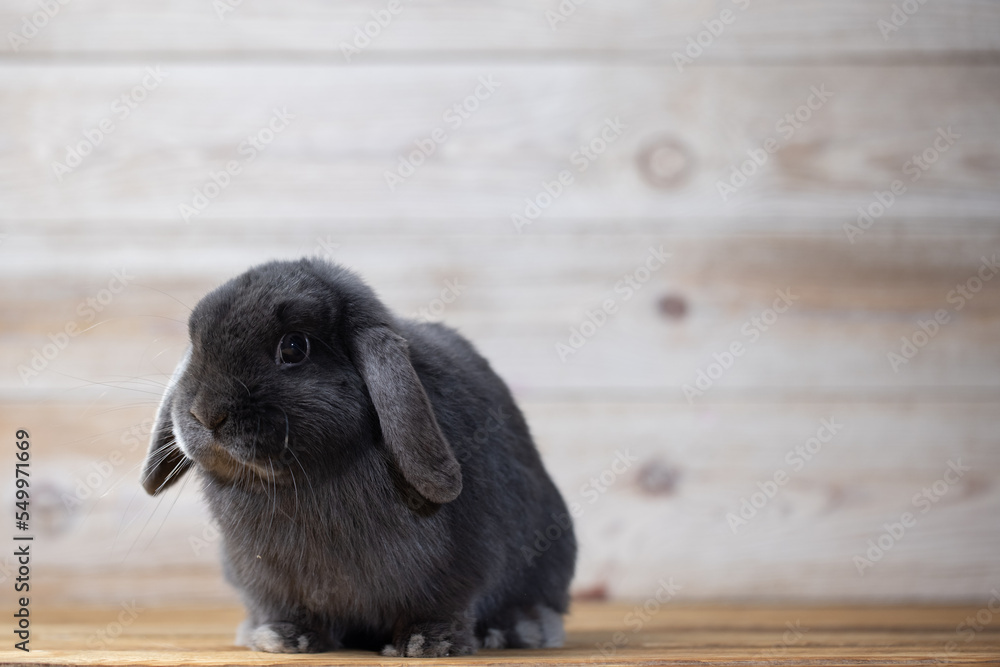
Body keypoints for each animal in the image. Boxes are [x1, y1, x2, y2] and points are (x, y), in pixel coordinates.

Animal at [140, 258, 576, 657]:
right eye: (197, 344)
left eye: (294, 347)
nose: (205, 413)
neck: (305, 480)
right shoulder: (266, 581)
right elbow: (285, 608)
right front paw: (283, 638)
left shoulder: (463, 565)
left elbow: (445, 606)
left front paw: (427, 643)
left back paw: (518, 629)